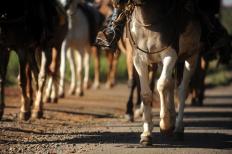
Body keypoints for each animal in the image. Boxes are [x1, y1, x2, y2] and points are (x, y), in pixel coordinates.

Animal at [129, 0, 201, 145]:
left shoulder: (170, 54)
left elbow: (161, 85)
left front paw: (165, 125)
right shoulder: (138, 59)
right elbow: (146, 93)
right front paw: (146, 133)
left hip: (192, 57)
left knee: (182, 90)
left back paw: (178, 128)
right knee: (171, 84)